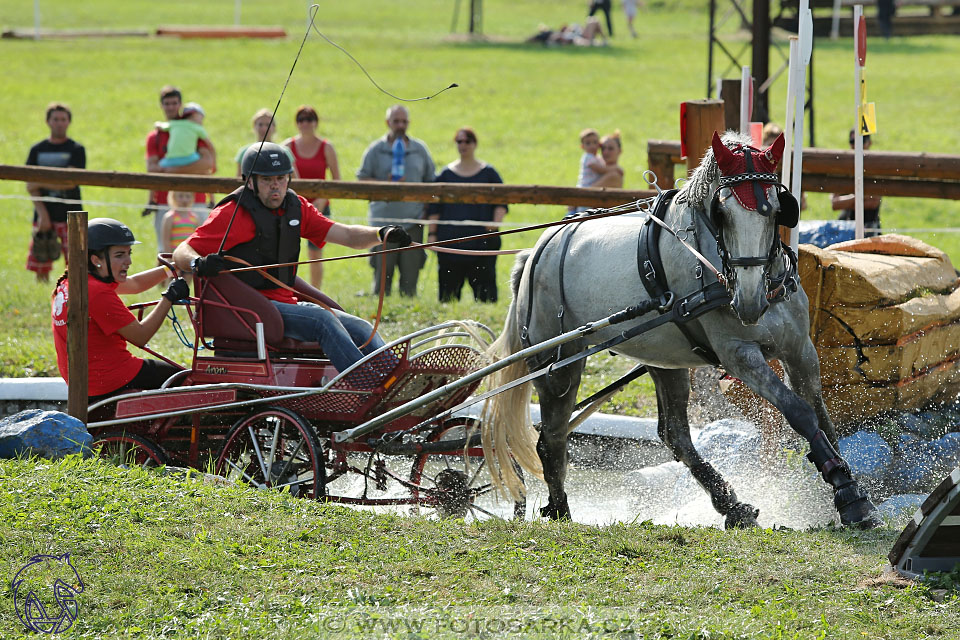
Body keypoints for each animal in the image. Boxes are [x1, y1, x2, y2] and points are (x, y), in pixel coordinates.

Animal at [484, 131, 880, 528]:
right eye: (723, 214)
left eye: (773, 209)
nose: (748, 303)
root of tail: (535, 252)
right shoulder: (739, 356)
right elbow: (799, 412)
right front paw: (846, 493)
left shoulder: (800, 350)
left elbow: (821, 416)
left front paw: (846, 490)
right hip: (557, 366)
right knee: (551, 435)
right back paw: (560, 509)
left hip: (664, 359)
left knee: (674, 434)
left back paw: (732, 505)